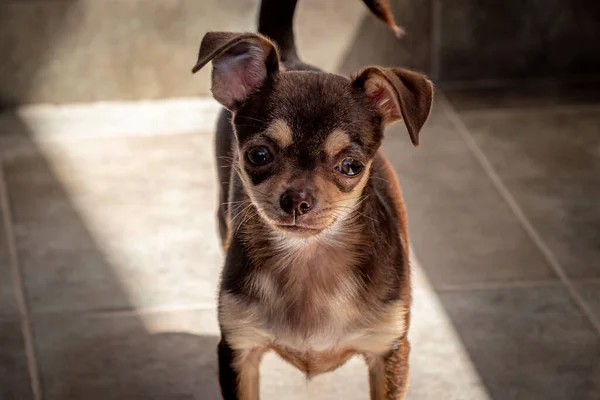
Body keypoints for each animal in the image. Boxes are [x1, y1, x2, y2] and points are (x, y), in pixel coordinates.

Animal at [195, 0, 434, 400]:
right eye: (258, 155)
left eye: (351, 166)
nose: (296, 200)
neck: (308, 259)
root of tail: (293, 58)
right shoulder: (239, 351)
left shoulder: (389, 353)